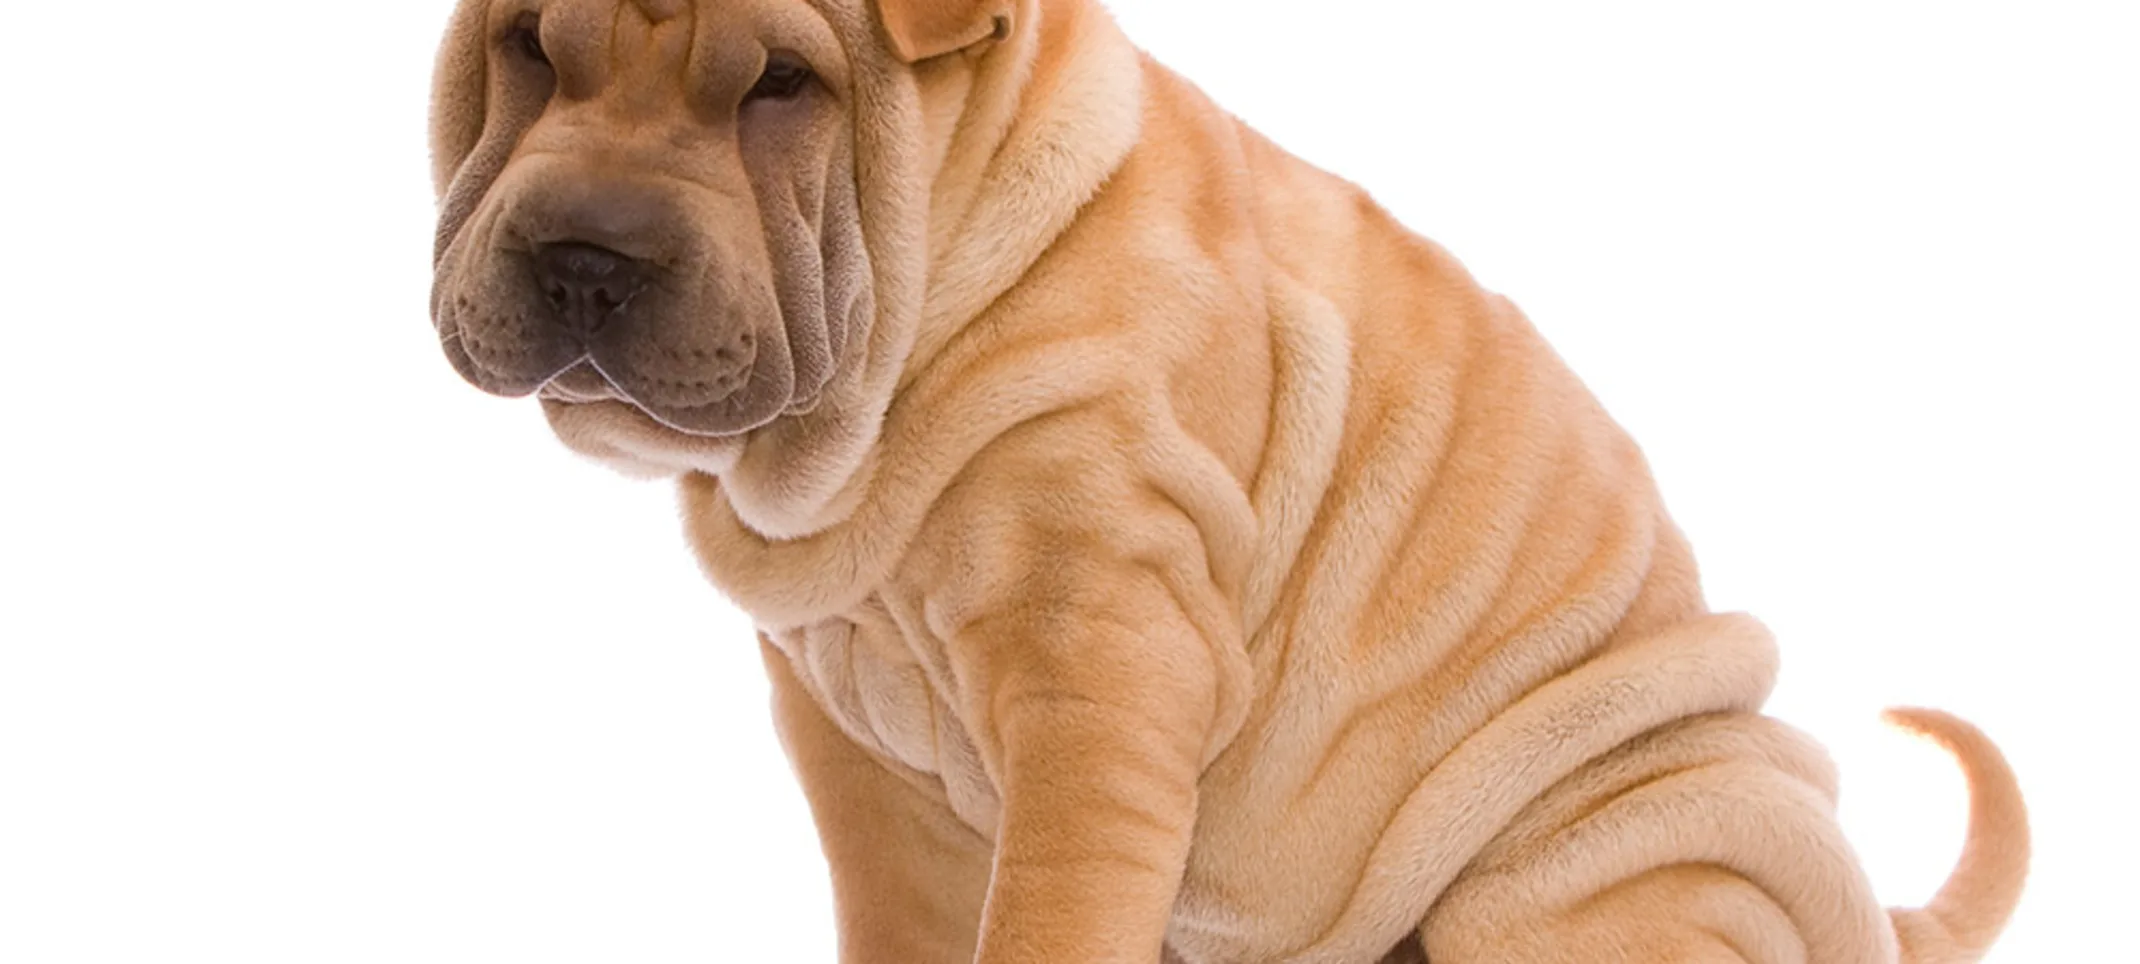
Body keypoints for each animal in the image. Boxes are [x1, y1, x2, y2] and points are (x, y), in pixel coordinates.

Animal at [425, 3, 2028, 959]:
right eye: (530, 47)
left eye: (783, 84)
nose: (585, 258)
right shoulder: (850, 741)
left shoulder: (1100, 679)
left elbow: (1046, 923)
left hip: (1607, 853)